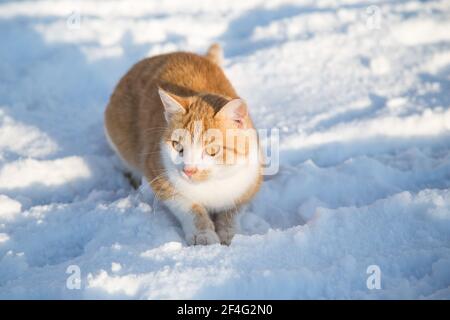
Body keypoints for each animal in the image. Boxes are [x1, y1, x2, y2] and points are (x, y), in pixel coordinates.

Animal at [104, 43, 262, 246]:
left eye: (212, 150)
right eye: (177, 146)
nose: (189, 170)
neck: (212, 184)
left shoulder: (251, 179)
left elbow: (233, 210)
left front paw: (230, 232)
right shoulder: (157, 172)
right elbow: (188, 206)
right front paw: (202, 234)